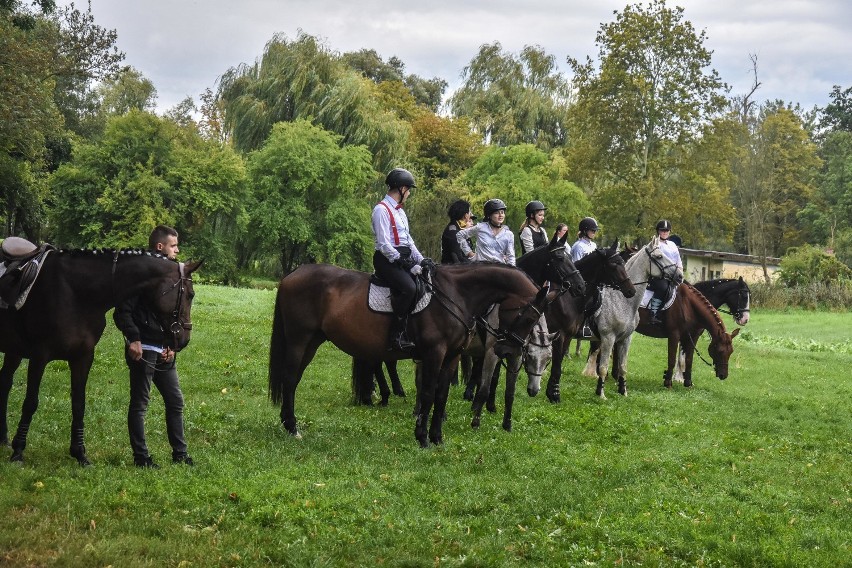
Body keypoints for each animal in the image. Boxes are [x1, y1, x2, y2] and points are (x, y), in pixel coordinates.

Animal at [0, 246, 201, 464]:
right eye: (190, 294)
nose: (185, 339)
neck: (76, 293)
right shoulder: (39, 356)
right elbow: (30, 403)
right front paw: (18, 451)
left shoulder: (83, 357)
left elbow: (79, 404)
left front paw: (79, 453)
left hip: (14, 351)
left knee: (5, 383)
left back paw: (3, 437)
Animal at [268, 262, 552, 448]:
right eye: (529, 317)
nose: (508, 350)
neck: (456, 295)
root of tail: (293, 274)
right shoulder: (434, 354)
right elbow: (427, 393)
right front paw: (422, 436)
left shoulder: (452, 356)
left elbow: (441, 394)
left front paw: (437, 437)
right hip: (299, 339)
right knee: (290, 379)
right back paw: (292, 427)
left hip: (312, 341)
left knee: (292, 379)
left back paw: (288, 423)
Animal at [580, 235, 684, 400]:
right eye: (659, 256)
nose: (680, 276)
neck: (622, 300)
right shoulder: (608, 338)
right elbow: (603, 367)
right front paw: (601, 394)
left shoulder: (625, 339)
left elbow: (623, 366)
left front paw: (623, 391)